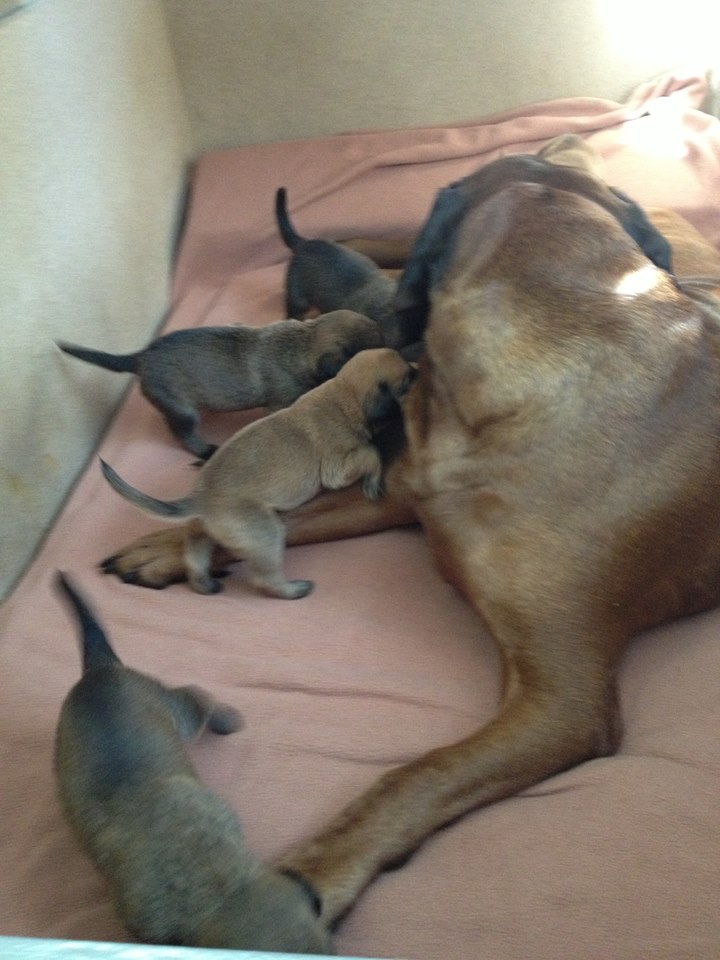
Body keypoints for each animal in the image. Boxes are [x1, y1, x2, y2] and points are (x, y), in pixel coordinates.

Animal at [54, 572, 331, 952]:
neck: (221, 886)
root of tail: (100, 670)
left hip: (175, 713)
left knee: (196, 694)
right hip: (180, 715)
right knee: (197, 695)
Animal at [58, 309, 383, 460]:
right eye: (367, 348)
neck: (301, 344)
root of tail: (140, 357)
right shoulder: (280, 402)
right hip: (182, 411)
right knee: (183, 434)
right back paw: (204, 449)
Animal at [101, 347, 415, 598]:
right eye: (406, 380)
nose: (417, 367)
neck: (343, 393)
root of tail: (201, 499)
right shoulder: (337, 466)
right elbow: (370, 453)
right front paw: (373, 481)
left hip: (205, 533)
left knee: (194, 554)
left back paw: (204, 584)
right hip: (266, 533)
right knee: (265, 579)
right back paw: (293, 589)